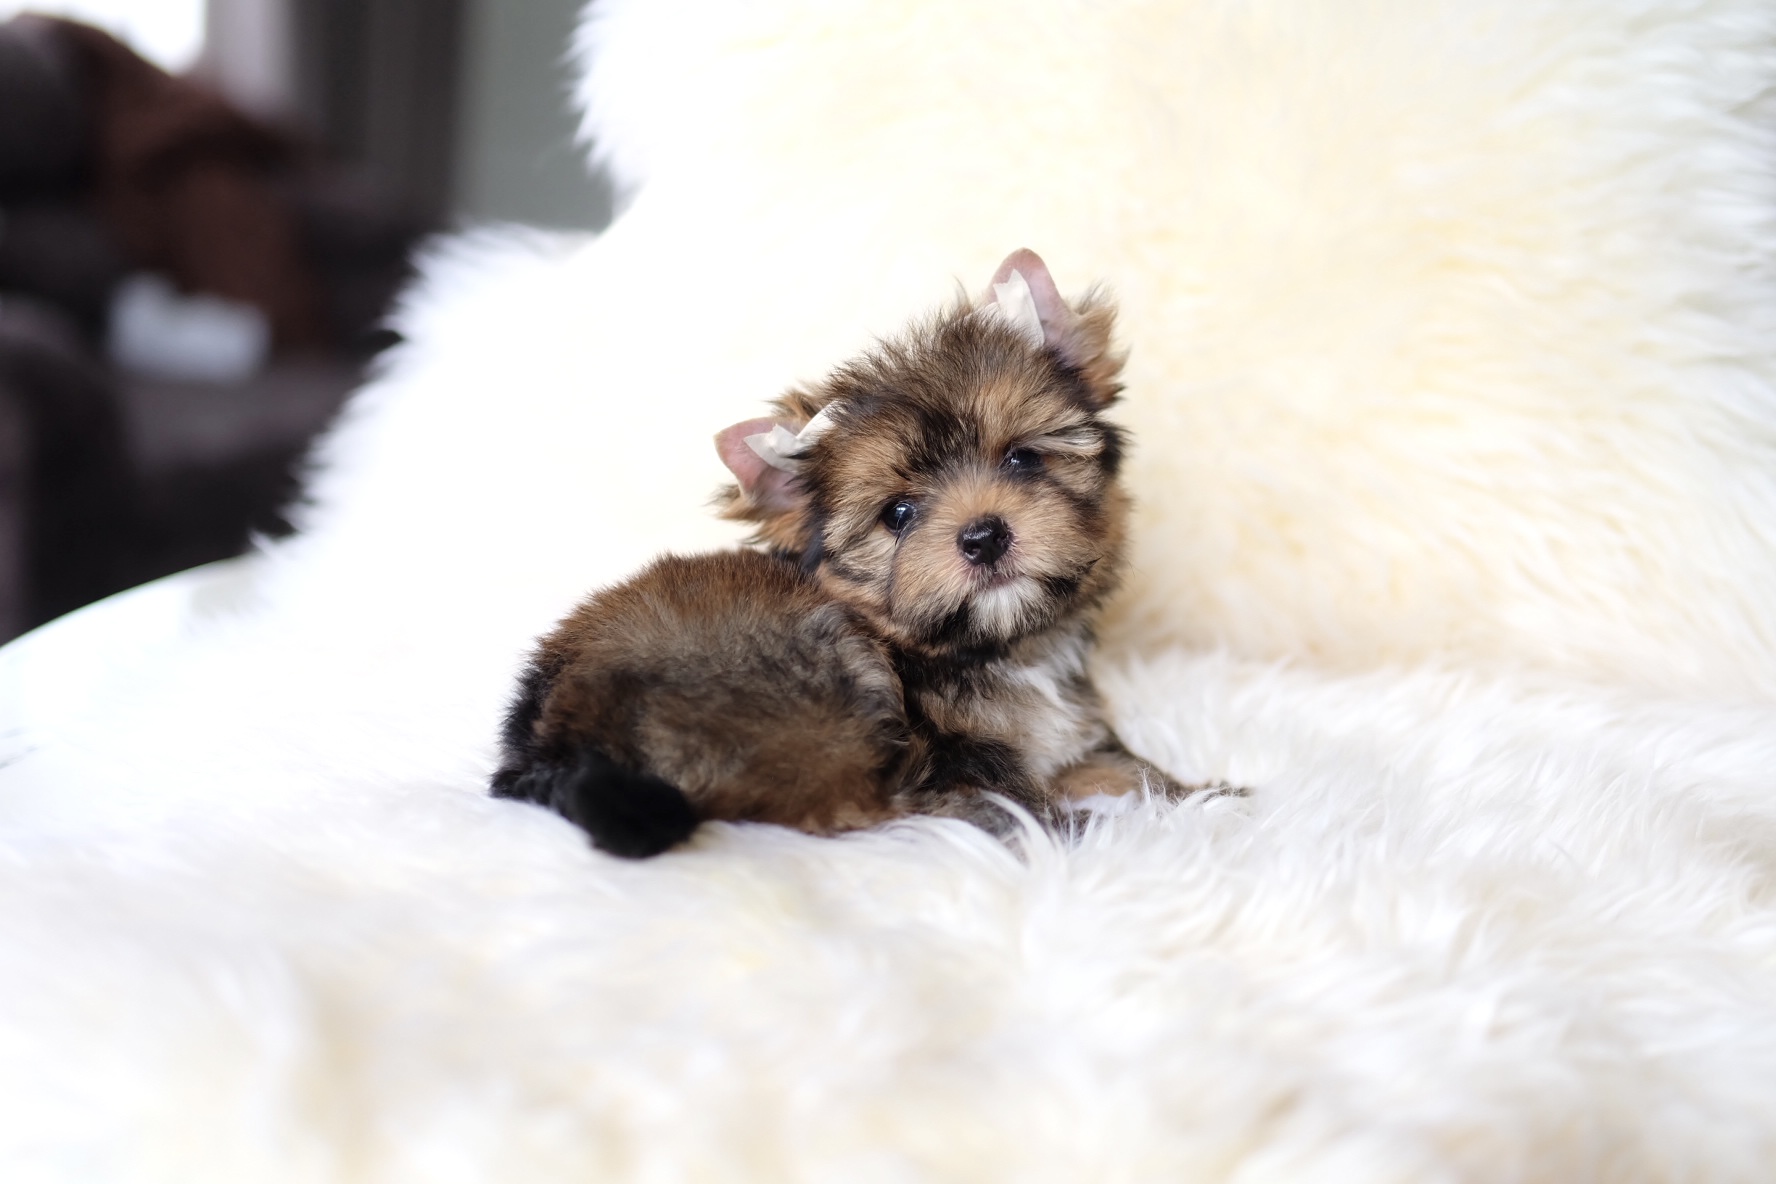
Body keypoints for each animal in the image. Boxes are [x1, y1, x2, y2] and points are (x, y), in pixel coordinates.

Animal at [492, 250, 1184, 856]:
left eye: (1022, 459)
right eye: (898, 515)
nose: (984, 536)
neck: (998, 650)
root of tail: (548, 740)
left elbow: (1129, 767)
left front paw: (1197, 793)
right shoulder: (952, 754)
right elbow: (1012, 796)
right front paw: (1083, 820)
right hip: (814, 677)